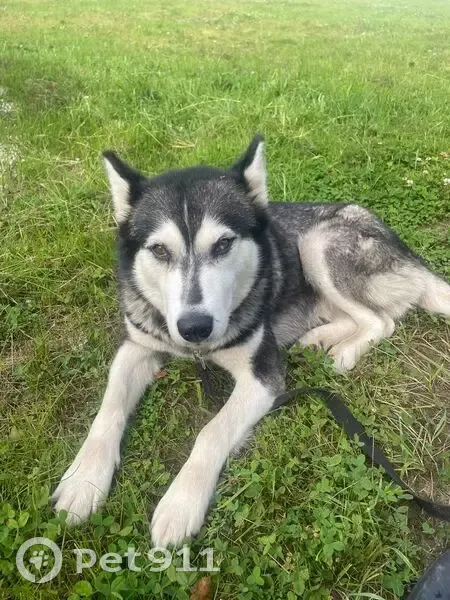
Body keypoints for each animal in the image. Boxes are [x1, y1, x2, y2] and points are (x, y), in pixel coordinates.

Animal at [53, 136, 450, 547]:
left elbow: (211, 432)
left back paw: (343, 353)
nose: (194, 327)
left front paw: (181, 503)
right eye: (159, 250)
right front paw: (84, 479)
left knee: (381, 320)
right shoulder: (137, 347)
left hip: (316, 243)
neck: (198, 351)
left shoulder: (263, 379)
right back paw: (317, 338)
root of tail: (403, 249)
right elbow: (108, 410)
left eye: (223, 244)